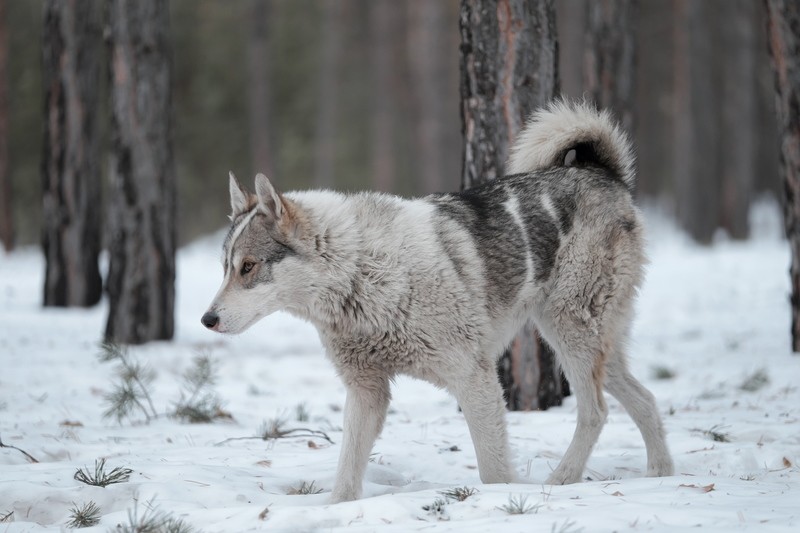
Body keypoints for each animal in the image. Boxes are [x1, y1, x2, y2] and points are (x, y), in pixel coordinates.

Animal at [202, 101, 676, 502]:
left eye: (248, 267)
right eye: (224, 267)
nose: (207, 319)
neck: (360, 273)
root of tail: (604, 173)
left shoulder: (475, 378)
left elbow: (492, 471)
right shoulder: (367, 392)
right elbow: (346, 476)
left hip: (569, 333)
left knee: (595, 412)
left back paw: (561, 481)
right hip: (592, 347)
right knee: (645, 400)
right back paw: (662, 474)